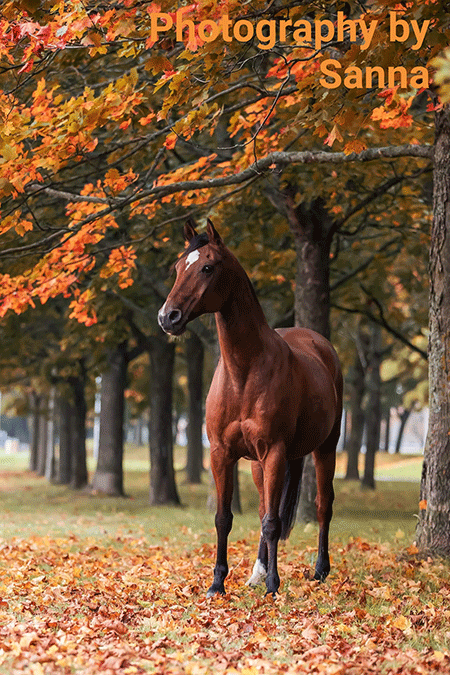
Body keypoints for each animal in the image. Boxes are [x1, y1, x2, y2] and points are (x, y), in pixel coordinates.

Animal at [159, 218, 344, 596]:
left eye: (207, 267)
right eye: (178, 267)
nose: (168, 317)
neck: (243, 372)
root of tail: (321, 345)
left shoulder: (274, 451)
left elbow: (273, 522)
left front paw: (274, 585)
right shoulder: (221, 454)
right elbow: (224, 518)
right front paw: (218, 582)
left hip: (324, 449)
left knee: (322, 506)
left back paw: (319, 570)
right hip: (261, 464)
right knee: (264, 508)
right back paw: (257, 572)